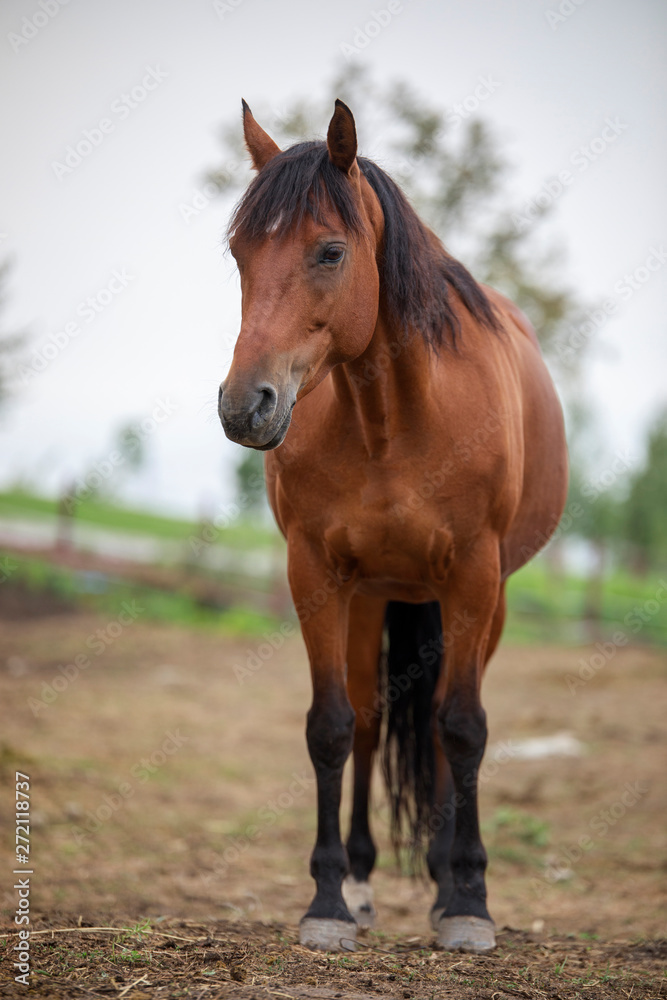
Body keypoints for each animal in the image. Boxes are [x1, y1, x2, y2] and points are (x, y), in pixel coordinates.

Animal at [217, 98, 568, 953]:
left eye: (329, 251)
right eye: (240, 253)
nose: (245, 406)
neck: (395, 420)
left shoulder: (474, 575)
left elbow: (463, 728)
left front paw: (468, 900)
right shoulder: (315, 574)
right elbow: (332, 726)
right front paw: (327, 900)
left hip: (476, 602)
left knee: (443, 729)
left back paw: (446, 882)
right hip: (375, 595)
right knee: (374, 723)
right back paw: (363, 878)